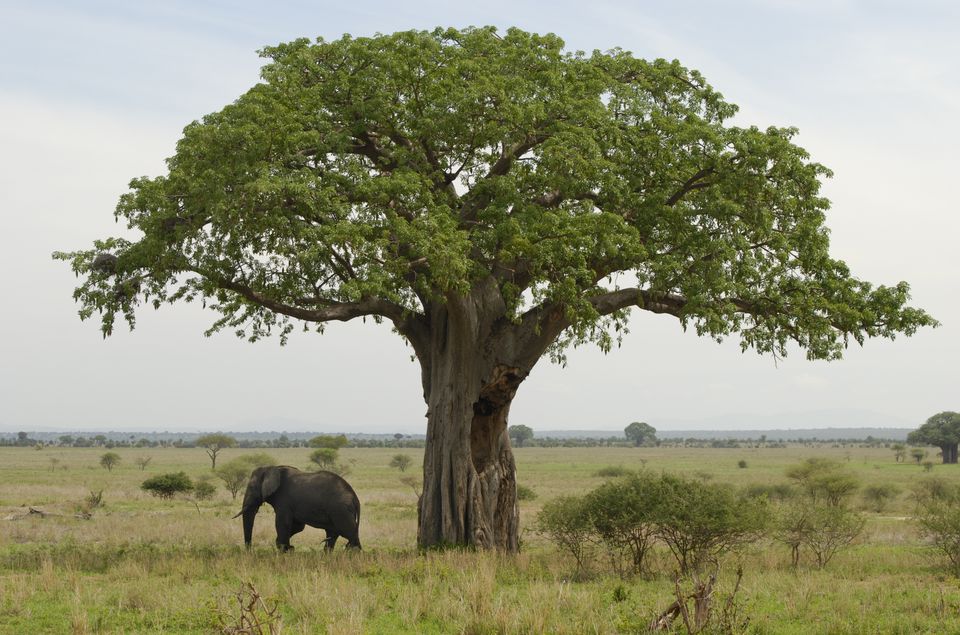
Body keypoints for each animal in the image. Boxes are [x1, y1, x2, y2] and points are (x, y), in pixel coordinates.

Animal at [234, 468, 362, 552]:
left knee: (348, 532)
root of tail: (355, 497)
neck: (272, 468)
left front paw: (284, 550)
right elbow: (298, 526)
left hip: (341, 510)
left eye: (251, 487)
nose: (250, 551)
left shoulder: (284, 500)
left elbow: (283, 523)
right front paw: (288, 548)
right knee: (334, 534)